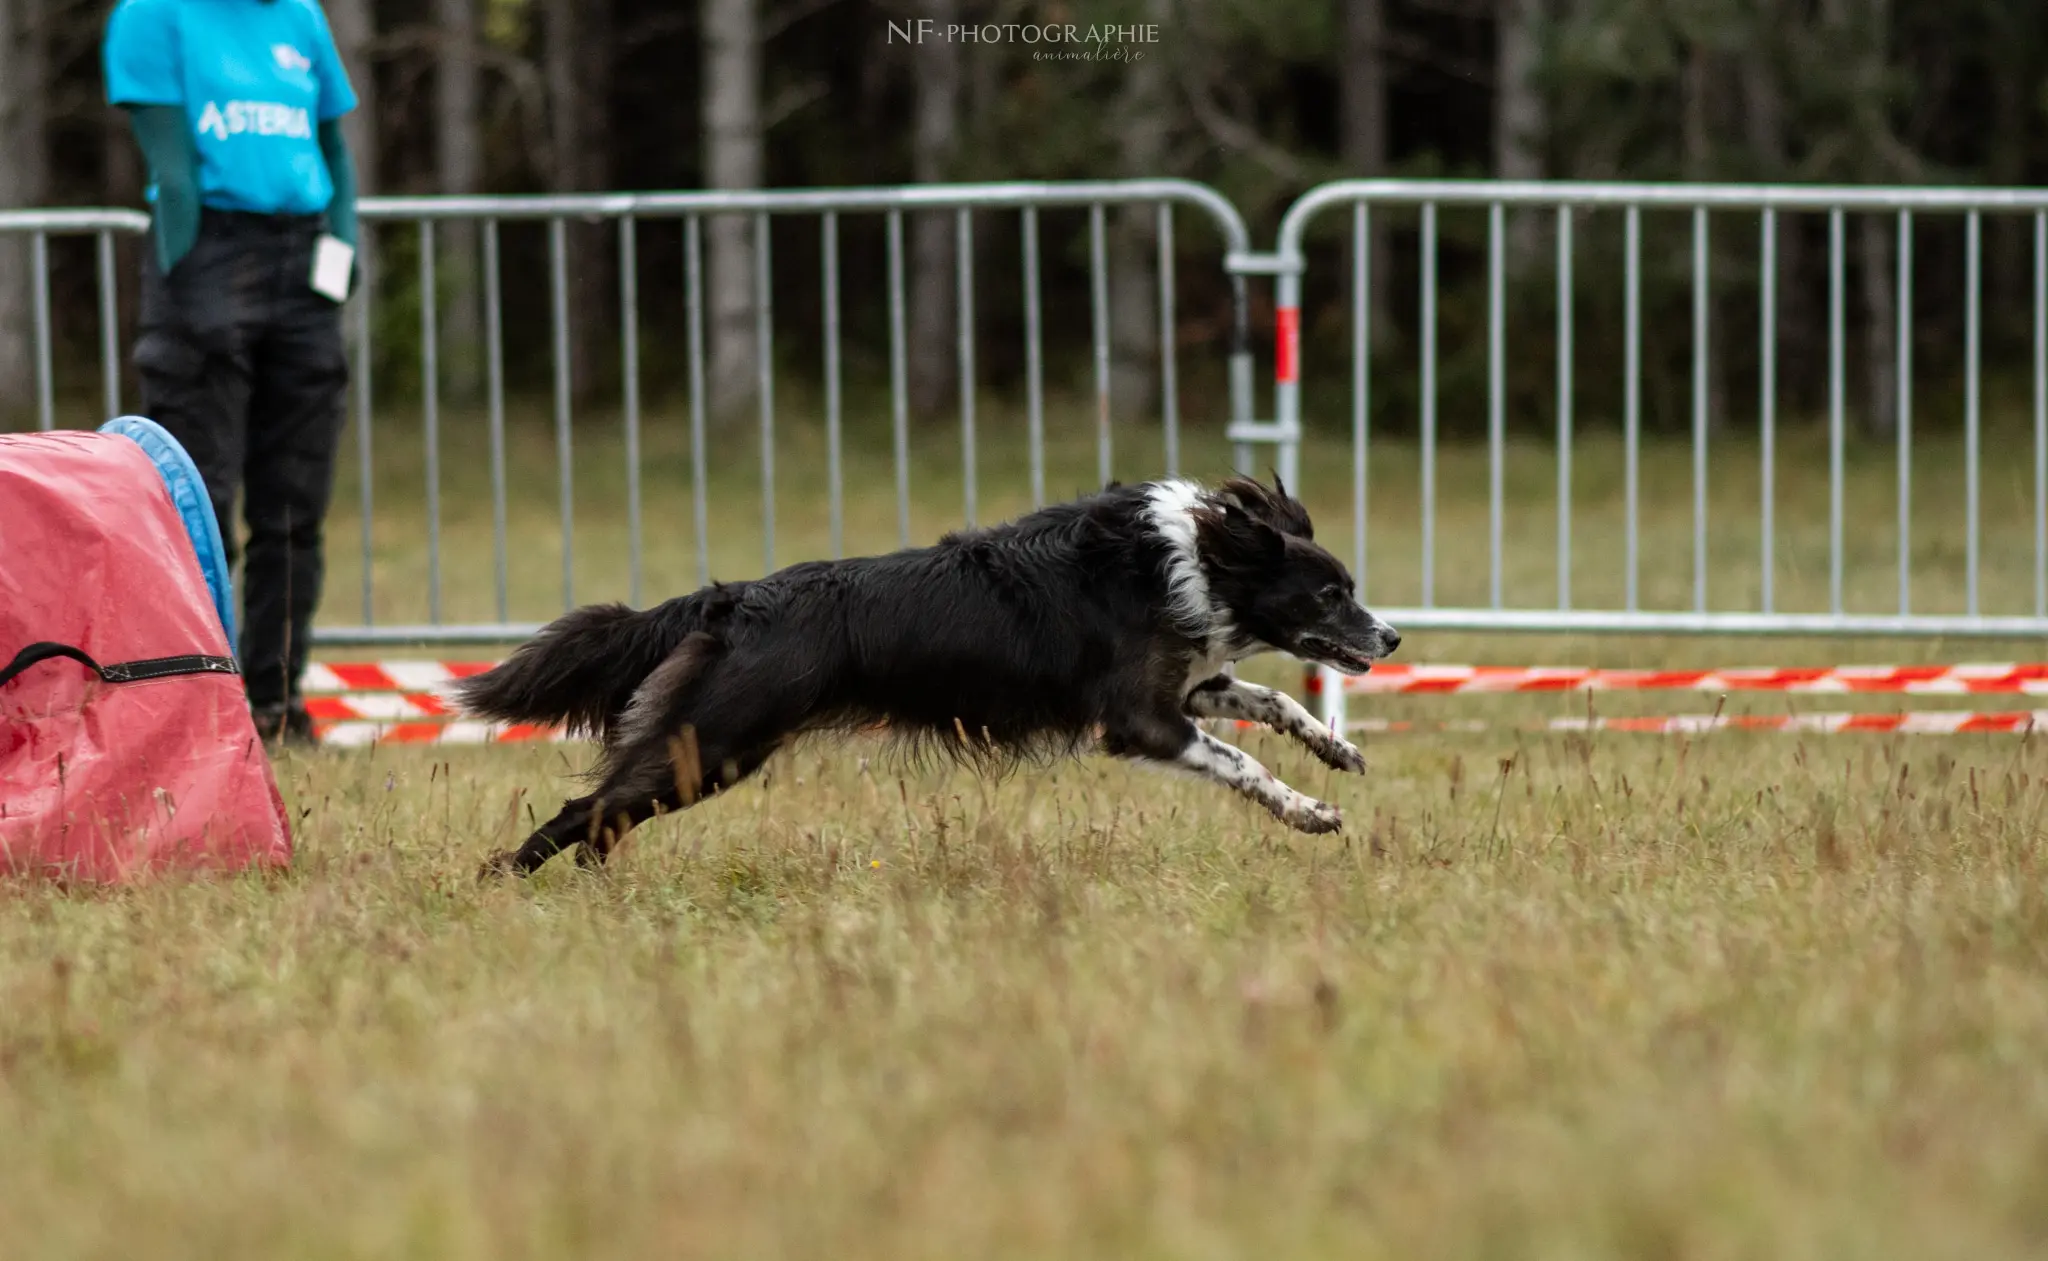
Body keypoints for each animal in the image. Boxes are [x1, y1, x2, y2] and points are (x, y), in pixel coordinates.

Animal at [456, 474, 1400, 876]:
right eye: (1331, 592)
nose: (1391, 636)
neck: (1190, 556)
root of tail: (733, 598)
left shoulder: (1182, 686)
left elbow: (1268, 697)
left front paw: (1336, 748)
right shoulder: (1141, 718)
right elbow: (1240, 760)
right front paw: (1310, 810)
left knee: (604, 815)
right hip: (718, 741)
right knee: (584, 808)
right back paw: (502, 881)